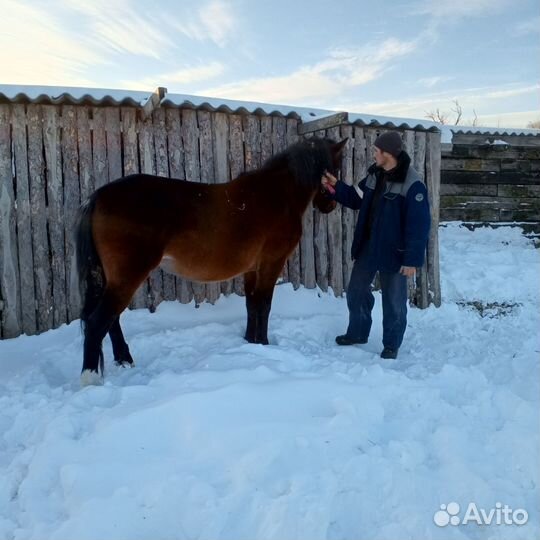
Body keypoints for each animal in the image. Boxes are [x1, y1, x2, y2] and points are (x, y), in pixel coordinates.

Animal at [75, 137, 346, 386]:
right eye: (337, 168)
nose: (331, 205)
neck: (277, 194)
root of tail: (97, 196)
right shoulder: (271, 263)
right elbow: (263, 305)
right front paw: (264, 344)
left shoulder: (251, 269)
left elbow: (251, 305)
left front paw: (250, 343)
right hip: (127, 277)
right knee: (98, 322)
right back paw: (91, 379)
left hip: (108, 278)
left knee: (111, 321)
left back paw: (125, 360)